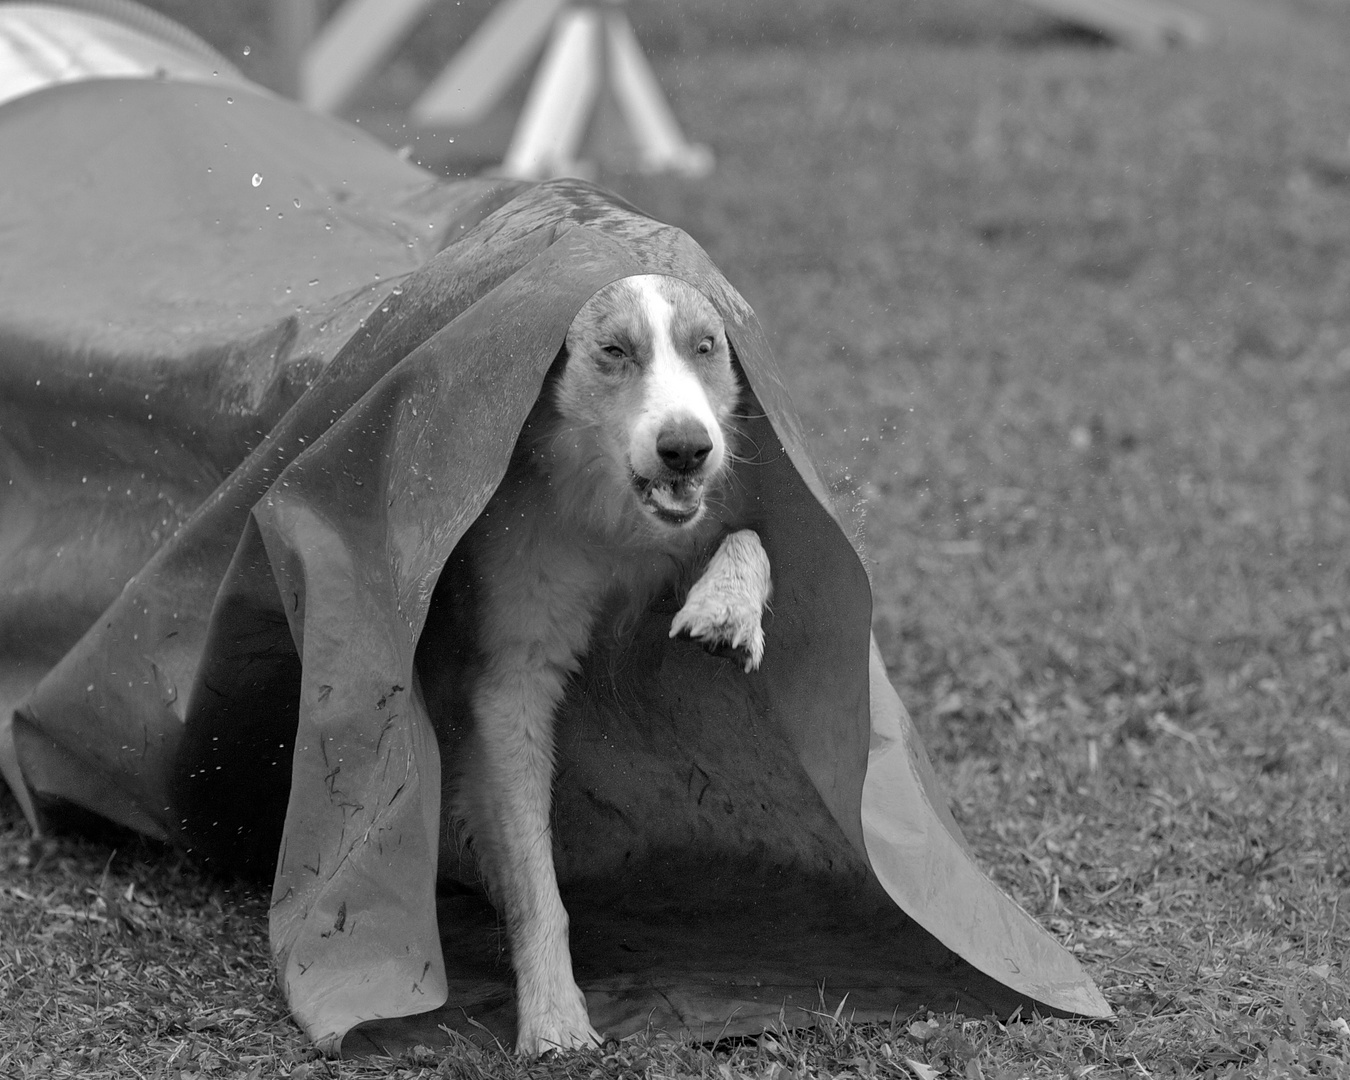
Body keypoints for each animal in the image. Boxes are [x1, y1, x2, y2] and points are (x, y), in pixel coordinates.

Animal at [440, 272, 772, 1053]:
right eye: (615, 351)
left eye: (706, 346)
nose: (687, 449)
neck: (615, 518)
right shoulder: (513, 682)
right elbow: (536, 887)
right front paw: (555, 1017)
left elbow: (749, 538)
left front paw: (728, 609)